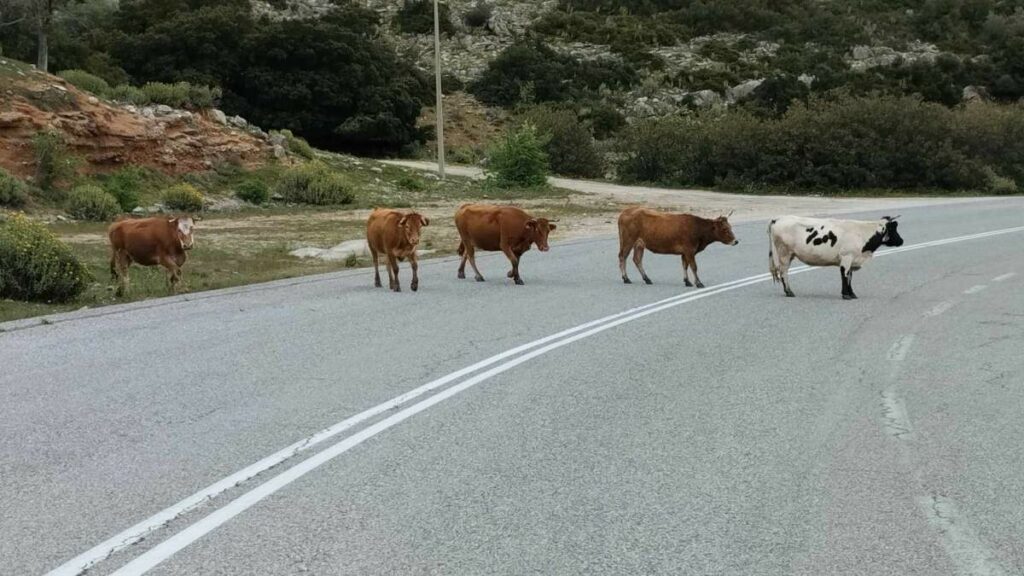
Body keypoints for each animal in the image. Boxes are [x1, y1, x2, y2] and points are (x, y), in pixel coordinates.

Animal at [770, 213, 905, 297]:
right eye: (894, 229)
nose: (902, 241)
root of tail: (778, 218)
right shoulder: (846, 257)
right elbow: (844, 276)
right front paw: (846, 295)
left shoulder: (852, 260)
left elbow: (850, 277)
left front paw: (852, 294)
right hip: (784, 253)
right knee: (783, 272)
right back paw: (789, 292)